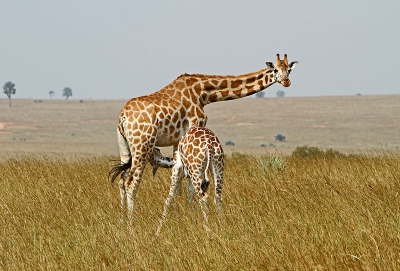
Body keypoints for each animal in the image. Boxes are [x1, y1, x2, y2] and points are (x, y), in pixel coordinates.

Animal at [109, 53, 296, 223]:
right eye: (275, 69)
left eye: (289, 69)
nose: (286, 82)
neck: (203, 93)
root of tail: (123, 117)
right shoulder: (195, 125)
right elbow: (190, 183)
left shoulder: (177, 141)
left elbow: (179, 181)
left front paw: (180, 215)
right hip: (143, 145)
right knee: (131, 183)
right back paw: (131, 225)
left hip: (125, 147)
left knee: (121, 180)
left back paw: (122, 221)